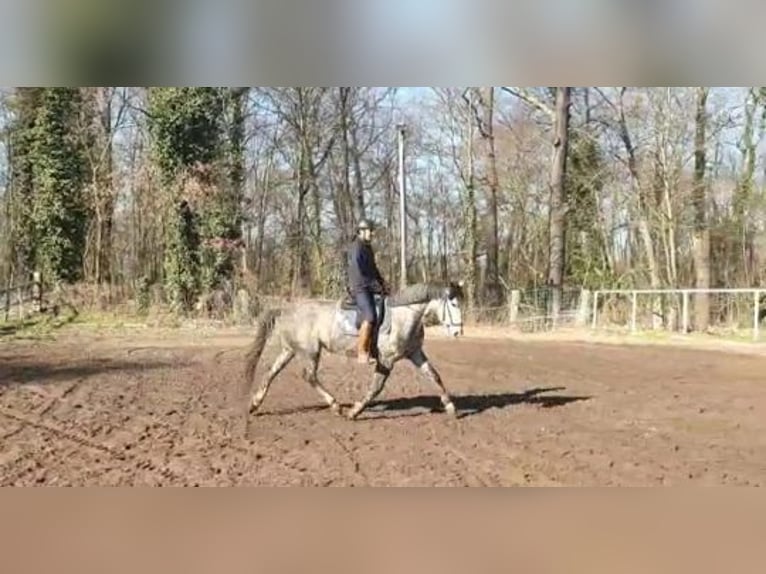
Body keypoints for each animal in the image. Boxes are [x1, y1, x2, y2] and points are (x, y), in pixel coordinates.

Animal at [243, 284, 464, 424]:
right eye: (453, 304)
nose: (458, 332)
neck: (404, 316)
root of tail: (287, 310)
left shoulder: (415, 353)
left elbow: (434, 376)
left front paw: (451, 407)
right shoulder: (387, 360)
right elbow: (376, 388)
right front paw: (354, 412)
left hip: (290, 350)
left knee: (271, 372)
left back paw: (254, 404)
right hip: (310, 351)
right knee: (309, 376)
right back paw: (336, 406)